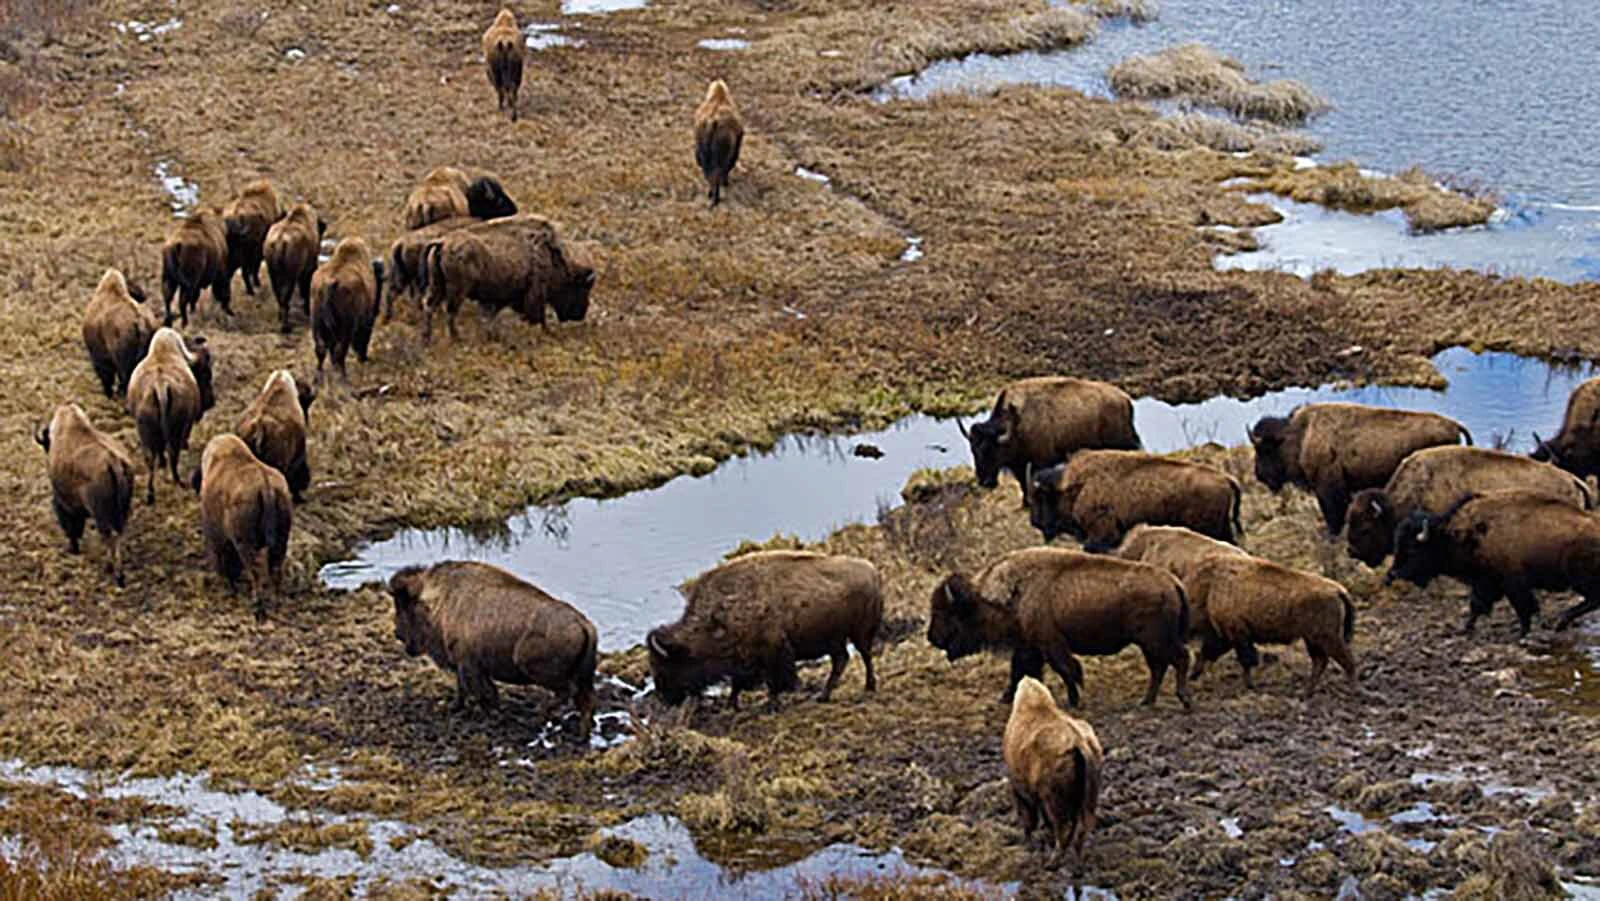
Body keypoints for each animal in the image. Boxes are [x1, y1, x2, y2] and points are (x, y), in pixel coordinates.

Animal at [391, 561, 599, 739]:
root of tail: (584, 624)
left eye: (404, 605)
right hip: (582, 676)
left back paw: (538, 716)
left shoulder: (469, 665)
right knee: (584, 700)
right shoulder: (467, 665)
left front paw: (488, 714)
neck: (436, 601)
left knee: (567, 692)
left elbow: (479, 691)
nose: (397, 633)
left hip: (536, 669)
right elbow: (467, 689)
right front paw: (455, 707)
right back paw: (581, 736)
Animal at [646, 550, 882, 709]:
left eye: (666, 666)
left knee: (864, 656)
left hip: (859, 634)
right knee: (842, 660)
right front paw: (732, 704)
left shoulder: (771, 652)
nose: (665, 698)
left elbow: (772, 681)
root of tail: (872, 571)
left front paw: (771, 704)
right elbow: (740, 683)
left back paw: (868, 687)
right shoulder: (745, 659)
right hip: (835, 640)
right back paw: (824, 696)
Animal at [928, 547, 1191, 709]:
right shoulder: (1030, 646)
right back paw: (1145, 701)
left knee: (1179, 659)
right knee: (1159, 667)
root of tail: (1173, 583)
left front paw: (1074, 700)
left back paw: (1183, 699)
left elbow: (1066, 669)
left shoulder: (1050, 643)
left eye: (946, 612)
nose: (932, 637)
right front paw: (1007, 698)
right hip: (1149, 643)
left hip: (1156, 640)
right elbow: (1021, 671)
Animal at [1248, 402, 1471, 534]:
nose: (1259, 475)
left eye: (1263, 450)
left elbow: (1333, 514)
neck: (1301, 434)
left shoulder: (1328, 488)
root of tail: (1454, 425)